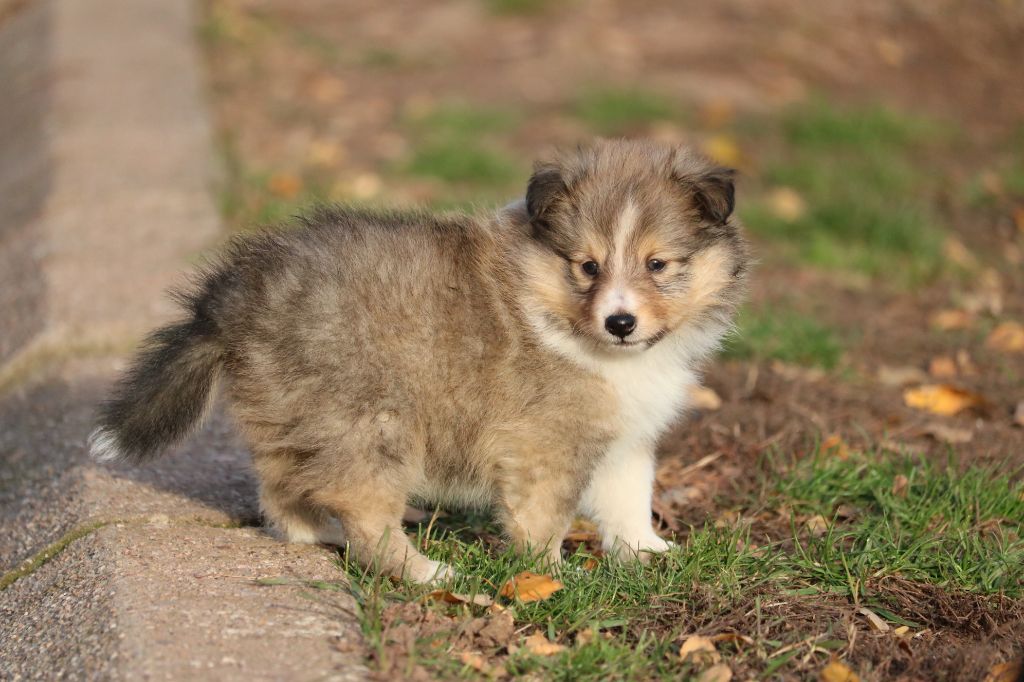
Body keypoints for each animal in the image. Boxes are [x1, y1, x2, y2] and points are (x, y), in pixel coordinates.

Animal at [92, 140, 749, 581]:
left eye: (658, 265)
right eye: (586, 266)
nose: (620, 322)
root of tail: (233, 296)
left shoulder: (623, 435)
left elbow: (628, 497)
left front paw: (651, 554)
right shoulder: (545, 445)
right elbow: (545, 516)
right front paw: (552, 577)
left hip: (291, 416)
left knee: (282, 489)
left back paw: (316, 533)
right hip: (372, 425)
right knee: (366, 516)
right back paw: (428, 573)